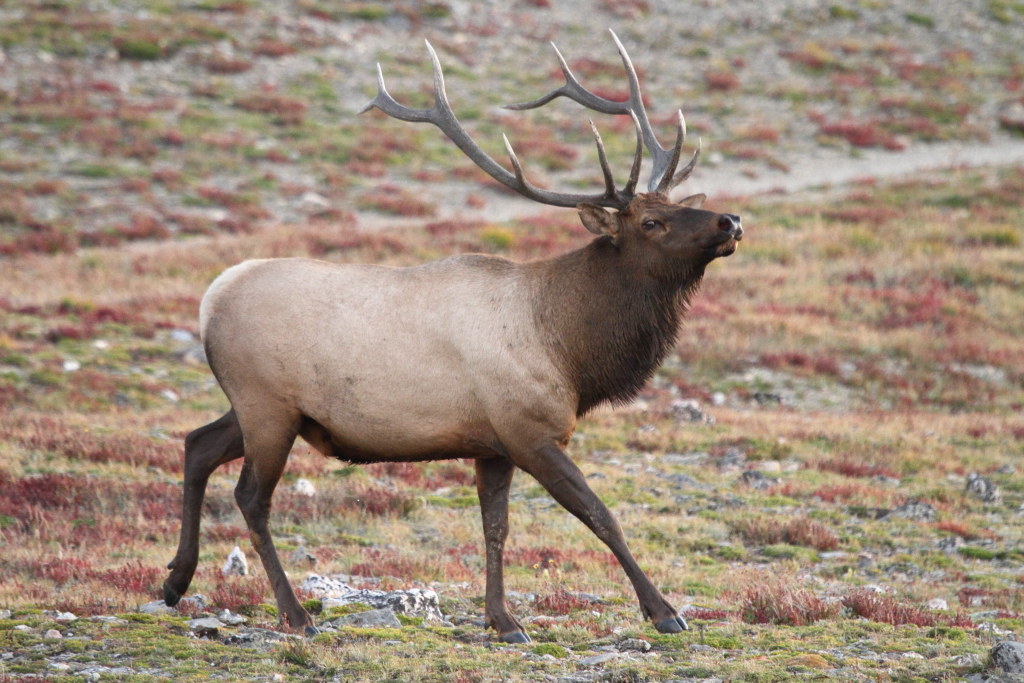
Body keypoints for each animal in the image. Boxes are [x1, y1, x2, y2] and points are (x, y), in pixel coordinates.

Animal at [162, 30, 742, 644]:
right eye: (651, 223)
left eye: (678, 206)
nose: (729, 221)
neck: (569, 351)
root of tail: (212, 297)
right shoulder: (529, 430)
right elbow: (601, 516)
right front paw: (664, 610)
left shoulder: (493, 444)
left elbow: (495, 528)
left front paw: (503, 620)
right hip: (267, 404)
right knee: (251, 497)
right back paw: (295, 614)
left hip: (264, 408)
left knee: (197, 443)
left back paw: (176, 580)